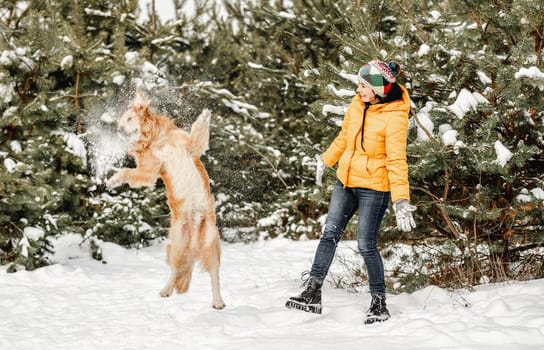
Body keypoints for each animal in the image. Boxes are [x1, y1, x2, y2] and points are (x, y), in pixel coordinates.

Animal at [106, 90, 225, 308]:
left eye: (128, 118)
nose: (118, 129)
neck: (156, 139)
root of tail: (192, 242)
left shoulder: (191, 146)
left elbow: (198, 132)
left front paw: (205, 116)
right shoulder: (149, 171)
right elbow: (127, 171)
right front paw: (113, 179)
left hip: (211, 242)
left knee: (214, 275)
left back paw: (218, 301)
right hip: (176, 245)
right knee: (175, 270)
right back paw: (166, 289)